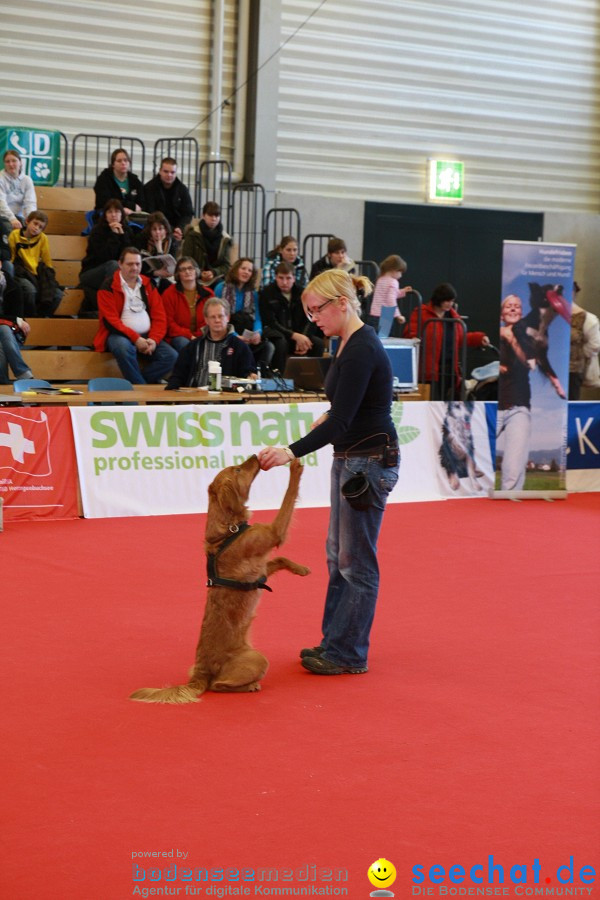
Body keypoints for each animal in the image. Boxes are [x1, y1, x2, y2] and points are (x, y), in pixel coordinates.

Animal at [131, 458, 310, 704]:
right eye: (238, 469)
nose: (255, 456)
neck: (228, 530)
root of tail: (200, 672)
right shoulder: (272, 533)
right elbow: (289, 496)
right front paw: (294, 468)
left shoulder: (262, 566)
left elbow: (280, 558)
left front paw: (300, 569)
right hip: (257, 658)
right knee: (218, 685)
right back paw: (250, 686)